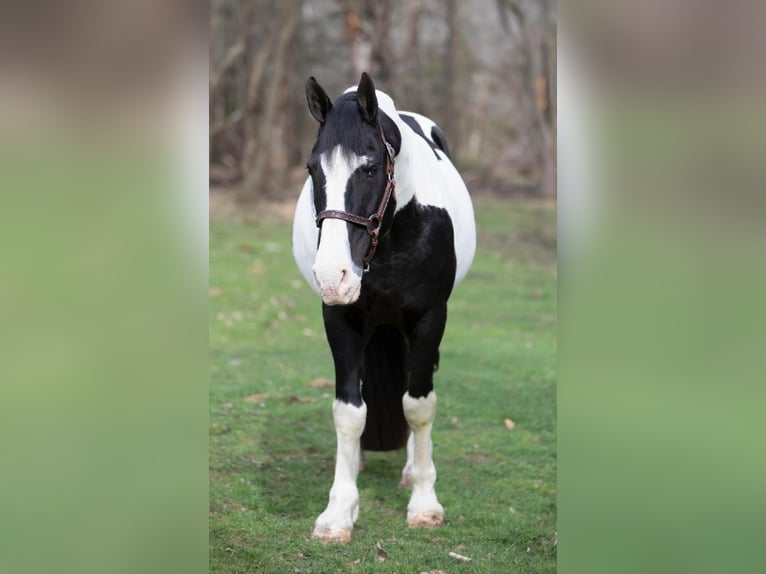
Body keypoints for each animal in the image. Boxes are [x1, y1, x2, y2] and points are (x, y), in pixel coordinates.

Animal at [292, 72, 476, 544]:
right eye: (312, 169)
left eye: (371, 168)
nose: (333, 275)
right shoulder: (340, 320)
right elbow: (348, 412)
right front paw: (338, 512)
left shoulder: (429, 319)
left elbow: (419, 405)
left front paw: (425, 504)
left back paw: (411, 471)